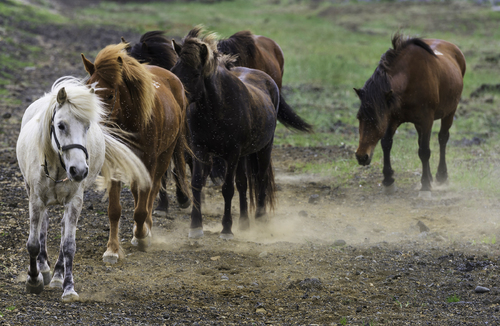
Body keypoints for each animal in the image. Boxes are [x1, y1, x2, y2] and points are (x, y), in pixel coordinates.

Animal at [16, 77, 151, 304]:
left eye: (87, 126)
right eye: (61, 125)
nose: (79, 170)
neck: (58, 165)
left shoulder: (75, 201)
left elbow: (69, 245)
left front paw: (68, 288)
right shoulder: (35, 199)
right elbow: (33, 243)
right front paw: (33, 280)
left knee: (62, 230)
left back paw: (56, 276)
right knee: (43, 226)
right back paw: (44, 270)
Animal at [80, 42, 189, 262]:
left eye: (110, 95)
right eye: (89, 91)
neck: (133, 121)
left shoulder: (149, 162)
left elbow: (142, 208)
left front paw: (142, 236)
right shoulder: (116, 163)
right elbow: (114, 209)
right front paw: (112, 249)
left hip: (164, 157)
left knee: (152, 192)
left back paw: (146, 229)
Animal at [171, 26, 282, 238]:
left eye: (195, 73)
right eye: (174, 71)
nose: (175, 97)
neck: (216, 108)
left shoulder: (232, 153)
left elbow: (228, 188)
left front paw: (226, 228)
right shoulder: (200, 149)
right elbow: (197, 182)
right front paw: (195, 226)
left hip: (264, 148)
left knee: (261, 178)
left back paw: (260, 217)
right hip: (244, 155)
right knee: (244, 183)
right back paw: (244, 222)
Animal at [356, 33, 464, 196]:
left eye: (376, 119)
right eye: (359, 118)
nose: (362, 157)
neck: (409, 79)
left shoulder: (426, 120)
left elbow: (424, 151)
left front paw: (425, 187)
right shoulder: (392, 118)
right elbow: (386, 143)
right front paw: (388, 181)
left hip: (450, 112)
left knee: (442, 139)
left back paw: (441, 176)